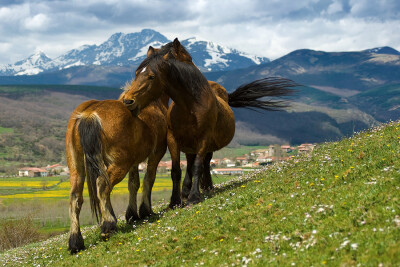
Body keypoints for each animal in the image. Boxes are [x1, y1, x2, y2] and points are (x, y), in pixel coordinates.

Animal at [65, 87, 167, 254]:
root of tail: (88, 114)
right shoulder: (156, 153)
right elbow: (149, 179)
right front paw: (145, 211)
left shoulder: (134, 162)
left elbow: (133, 184)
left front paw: (132, 215)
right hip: (120, 165)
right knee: (102, 186)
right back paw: (108, 225)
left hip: (76, 168)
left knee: (75, 197)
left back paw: (75, 242)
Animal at [122, 39, 296, 207]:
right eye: (136, 73)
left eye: (151, 76)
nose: (128, 101)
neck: (190, 106)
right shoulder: (173, 139)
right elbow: (176, 170)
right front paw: (175, 201)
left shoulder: (204, 139)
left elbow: (197, 166)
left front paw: (193, 197)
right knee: (192, 163)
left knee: (203, 162)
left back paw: (204, 188)